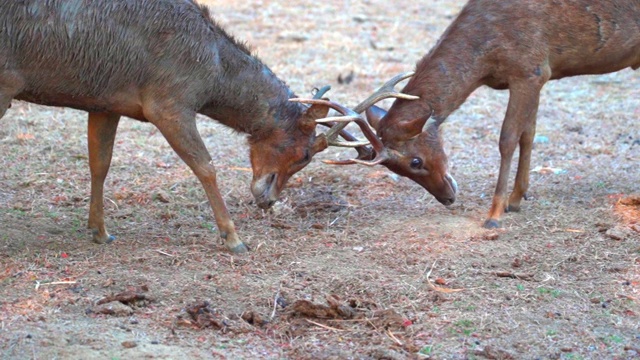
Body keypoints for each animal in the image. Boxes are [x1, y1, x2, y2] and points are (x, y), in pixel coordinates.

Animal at [0, 0, 372, 253]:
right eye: (305, 153)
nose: (268, 200)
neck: (212, 75)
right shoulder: (168, 102)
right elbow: (206, 166)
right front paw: (233, 238)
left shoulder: (105, 102)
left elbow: (100, 164)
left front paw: (100, 231)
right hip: (6, 82)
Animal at [298, 0, 636, 228]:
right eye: (397, 171)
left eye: (415, 161)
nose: (447, 198)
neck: (484, 61)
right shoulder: (539, 75)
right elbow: (529, 133)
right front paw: (517, 199)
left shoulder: (529, 69)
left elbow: (508, 138)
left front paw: (495, 213)